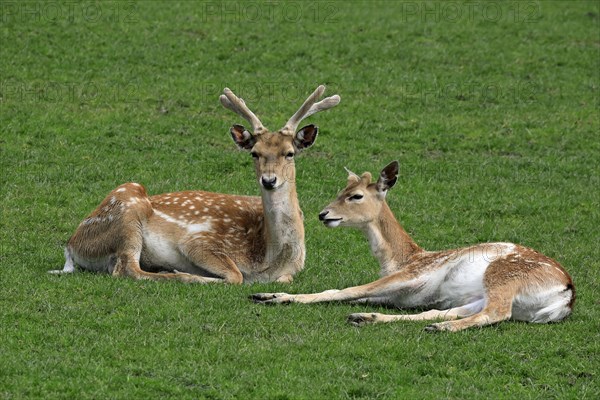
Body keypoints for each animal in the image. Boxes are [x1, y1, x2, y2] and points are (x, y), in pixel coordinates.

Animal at [49, 85, 340, 282]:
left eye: (289, 153)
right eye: (254, 153)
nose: (269, 180)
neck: (269, 259)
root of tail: (71, 245)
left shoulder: (290, 273)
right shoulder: (199, 241)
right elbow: (236, 276)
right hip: (127, 211)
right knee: (127, 269)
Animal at [251, 160, 576, 332]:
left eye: (356, 195)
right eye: (341, 189)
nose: (323, 214)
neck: (402, 259)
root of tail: (566, 295)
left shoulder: (411, 275)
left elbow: (344, 290)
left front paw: (272, 295)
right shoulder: (405, 295)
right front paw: (268, 295)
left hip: (503, 276)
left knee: (496, 312)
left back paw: (441, 329)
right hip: (481, 297)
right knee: (446, 313)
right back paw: (366, 318)